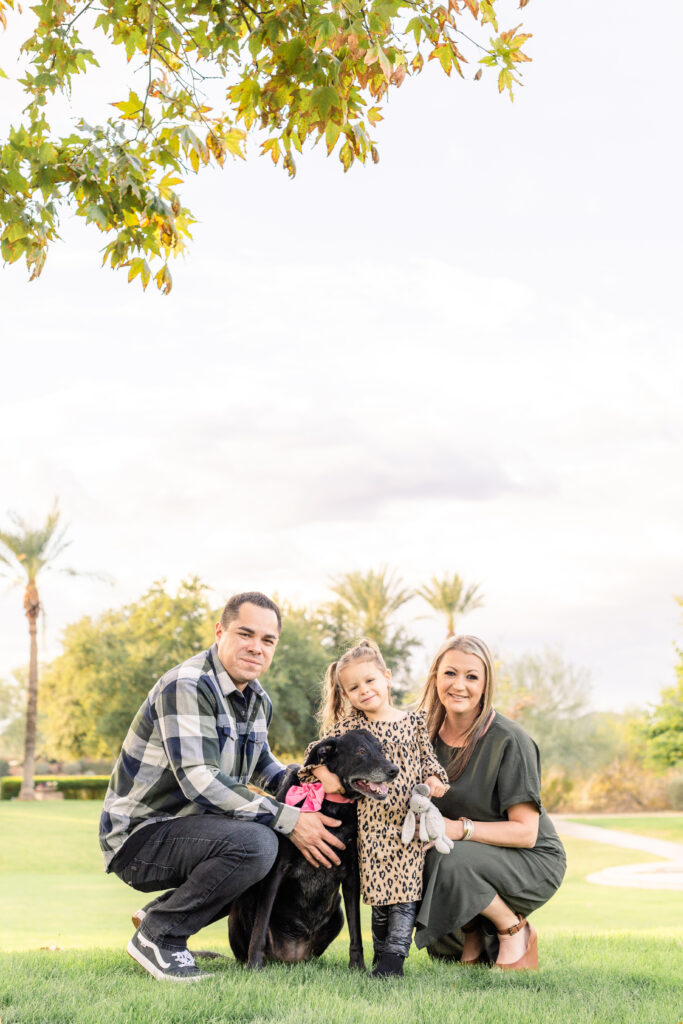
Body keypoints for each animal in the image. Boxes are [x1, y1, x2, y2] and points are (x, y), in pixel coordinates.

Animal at [229, 724, 401, 970]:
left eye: (381, 749)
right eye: (361, 752)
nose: (394, 770)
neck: (331, 804)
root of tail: (290, 956)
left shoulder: (351, 876)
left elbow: (356, 930)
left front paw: (358, 966)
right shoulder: (277, 871)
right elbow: (260, 926)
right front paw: (254, 965)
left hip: (336, 911)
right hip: (245, 900)